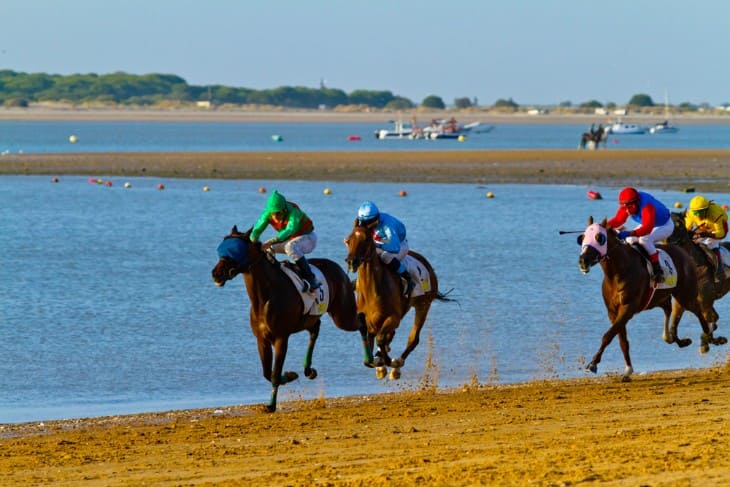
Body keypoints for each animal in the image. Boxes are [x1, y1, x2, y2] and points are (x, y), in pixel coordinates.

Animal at [209, 227, 370, 414]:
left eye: (235, 250)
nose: (216, 273)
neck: (265, 297)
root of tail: (339, 269)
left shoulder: (281, 338)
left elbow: (274, 373)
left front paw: (271, 405)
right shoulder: (261, 339)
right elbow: (267, 372)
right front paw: (289, 376)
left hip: (342, 316)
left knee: (361, 320)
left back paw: (372, 360)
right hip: (311, 318)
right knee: (315, 329)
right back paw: (308, 370)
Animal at [342, 222, 450, 382]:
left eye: (366, 240)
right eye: (348, 240)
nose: (351, 261)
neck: (372, 290)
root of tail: (425, 263)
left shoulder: (393, 317)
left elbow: (381, 339)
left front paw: (389, 362)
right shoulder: (366, 320)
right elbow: (369, 355)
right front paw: (379, 362)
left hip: (423, 304)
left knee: (413, 339)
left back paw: (396, 364)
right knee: (390, 336)